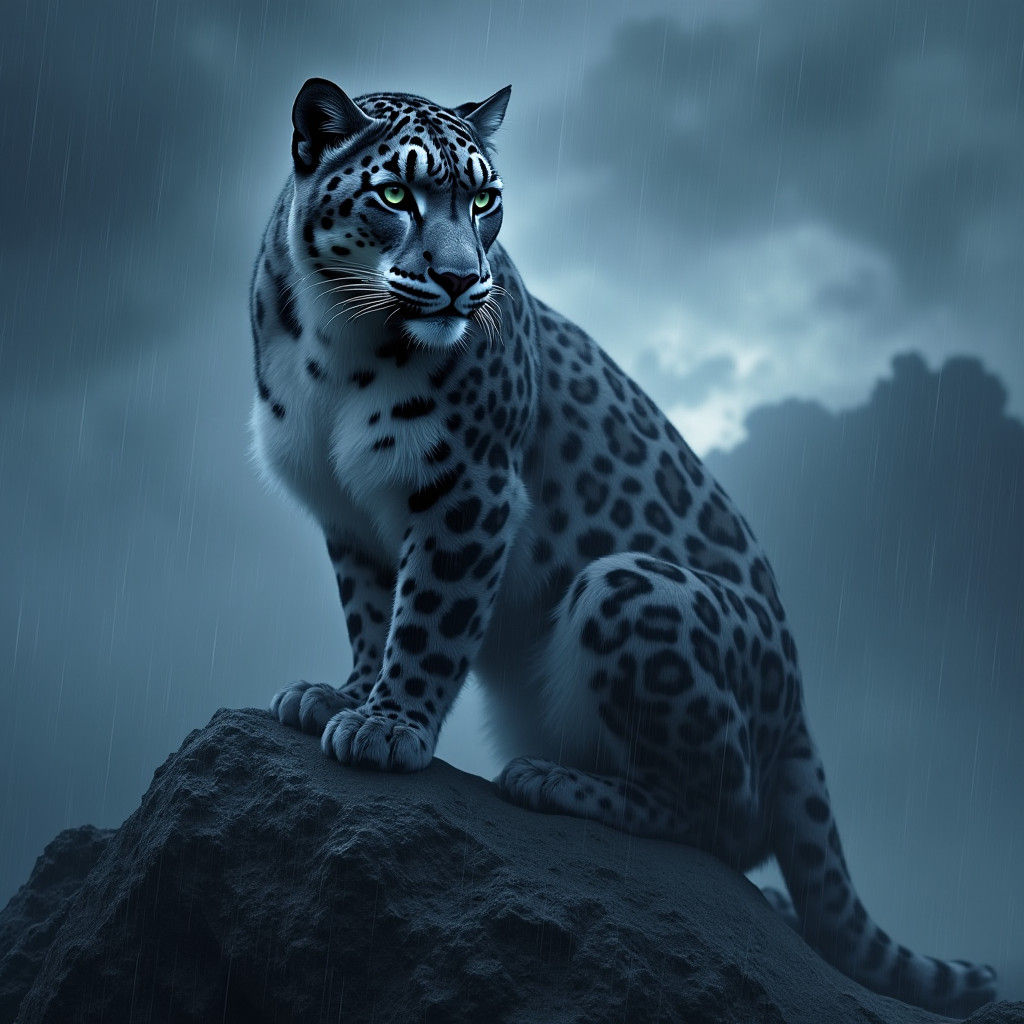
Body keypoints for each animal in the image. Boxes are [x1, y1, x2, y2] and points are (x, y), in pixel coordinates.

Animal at [248, 77, 997, 1016]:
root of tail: (800, 710)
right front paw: (341, 696)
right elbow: (372, 615)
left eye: (484, 202)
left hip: (630, 585)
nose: (461, 282)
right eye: (395, 197)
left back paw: (554, 783)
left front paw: (391, 728)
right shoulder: (349, 515)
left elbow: (428, 623)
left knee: (729, 822)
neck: (333, 338)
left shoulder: (472, 488)